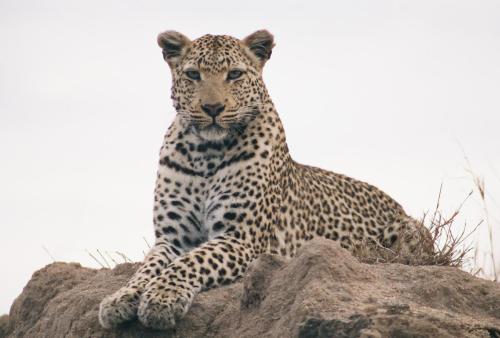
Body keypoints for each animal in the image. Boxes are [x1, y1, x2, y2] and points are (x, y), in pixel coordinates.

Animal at [97, 29, 434, 330]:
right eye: (193, 74)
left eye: (234, 74)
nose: (213, 108)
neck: (205, 151)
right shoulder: (172, 237)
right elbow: (148, 267)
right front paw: (121, 297)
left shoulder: (241, 238)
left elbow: (190, 262)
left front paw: (162, 298)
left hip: (409, 231)